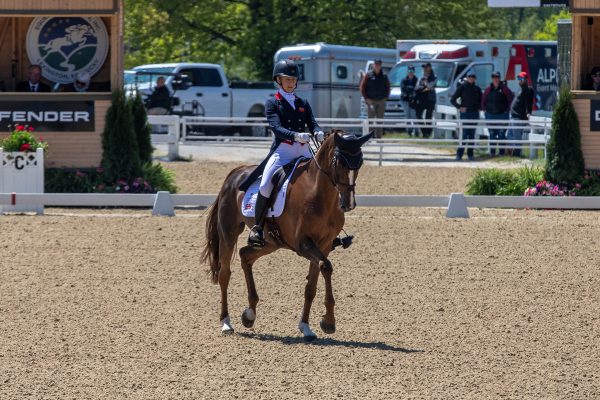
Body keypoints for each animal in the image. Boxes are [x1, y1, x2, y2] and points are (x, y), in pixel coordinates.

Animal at [202, 129, 370, 340]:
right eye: (338, 161)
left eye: (360, 162)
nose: (348, 203)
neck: (319, 194)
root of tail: (236, 172)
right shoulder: (303, 244)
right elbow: (326, 267)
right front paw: (328, 322)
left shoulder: (323, 245)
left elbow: (311, 286)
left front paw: (307, 326)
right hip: (229, 233)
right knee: (225, 274)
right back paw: (226, 323)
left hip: (270, 242)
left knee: (245, 255)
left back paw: (250, 314)